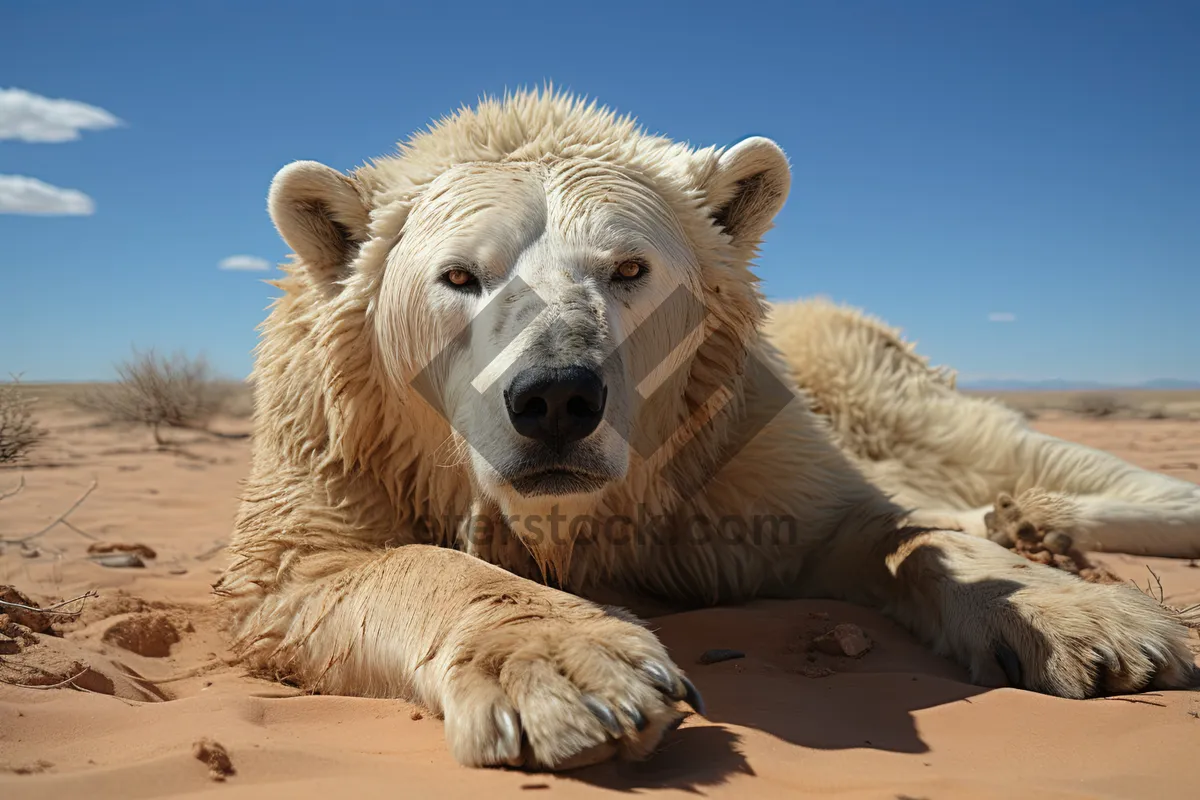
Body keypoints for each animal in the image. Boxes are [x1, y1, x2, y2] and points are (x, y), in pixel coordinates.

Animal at [218, 90, 1200, 772]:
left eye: (629, 268)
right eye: (460, 276)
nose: (556, 399)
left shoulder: (728, 444)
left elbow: (867, 520)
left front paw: (1095, 623)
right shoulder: (339, 443)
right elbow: (317, 565)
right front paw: (575, 675)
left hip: (858, 362)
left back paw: (1044, 519)